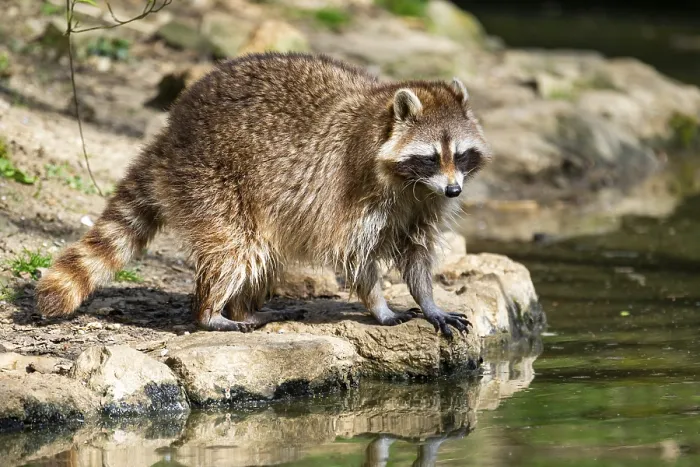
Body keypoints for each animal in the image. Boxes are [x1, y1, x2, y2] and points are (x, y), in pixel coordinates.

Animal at [36, 52, 492, 338]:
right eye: (430, 157)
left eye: (460, 155)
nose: (455, 189)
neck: (410, 182)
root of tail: (169, 132)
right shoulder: (353, 191)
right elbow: (353, 256)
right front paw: (379, 306)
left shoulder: (425, 203)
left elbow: (417, 253)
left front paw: (427, 300)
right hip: (212, 179)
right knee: (237, 250)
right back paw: (210, 313)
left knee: (263, 254)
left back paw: (243, 307)